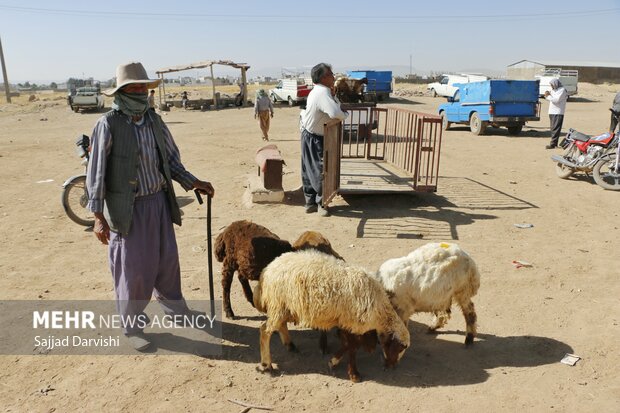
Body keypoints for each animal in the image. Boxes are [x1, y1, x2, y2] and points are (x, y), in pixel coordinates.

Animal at [254, 248, 410, 376]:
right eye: (399, 348)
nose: (392, 366)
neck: (381, 312)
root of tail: (267, 270)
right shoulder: (351, 322)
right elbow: (351, 346)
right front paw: (337, 364)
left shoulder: (345, 321)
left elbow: (348, 344)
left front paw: (334, 361)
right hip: (278, 303)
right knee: (265, 331)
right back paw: (266, 365)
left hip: (285, 306)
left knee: (281, 325)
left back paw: (290, 345)